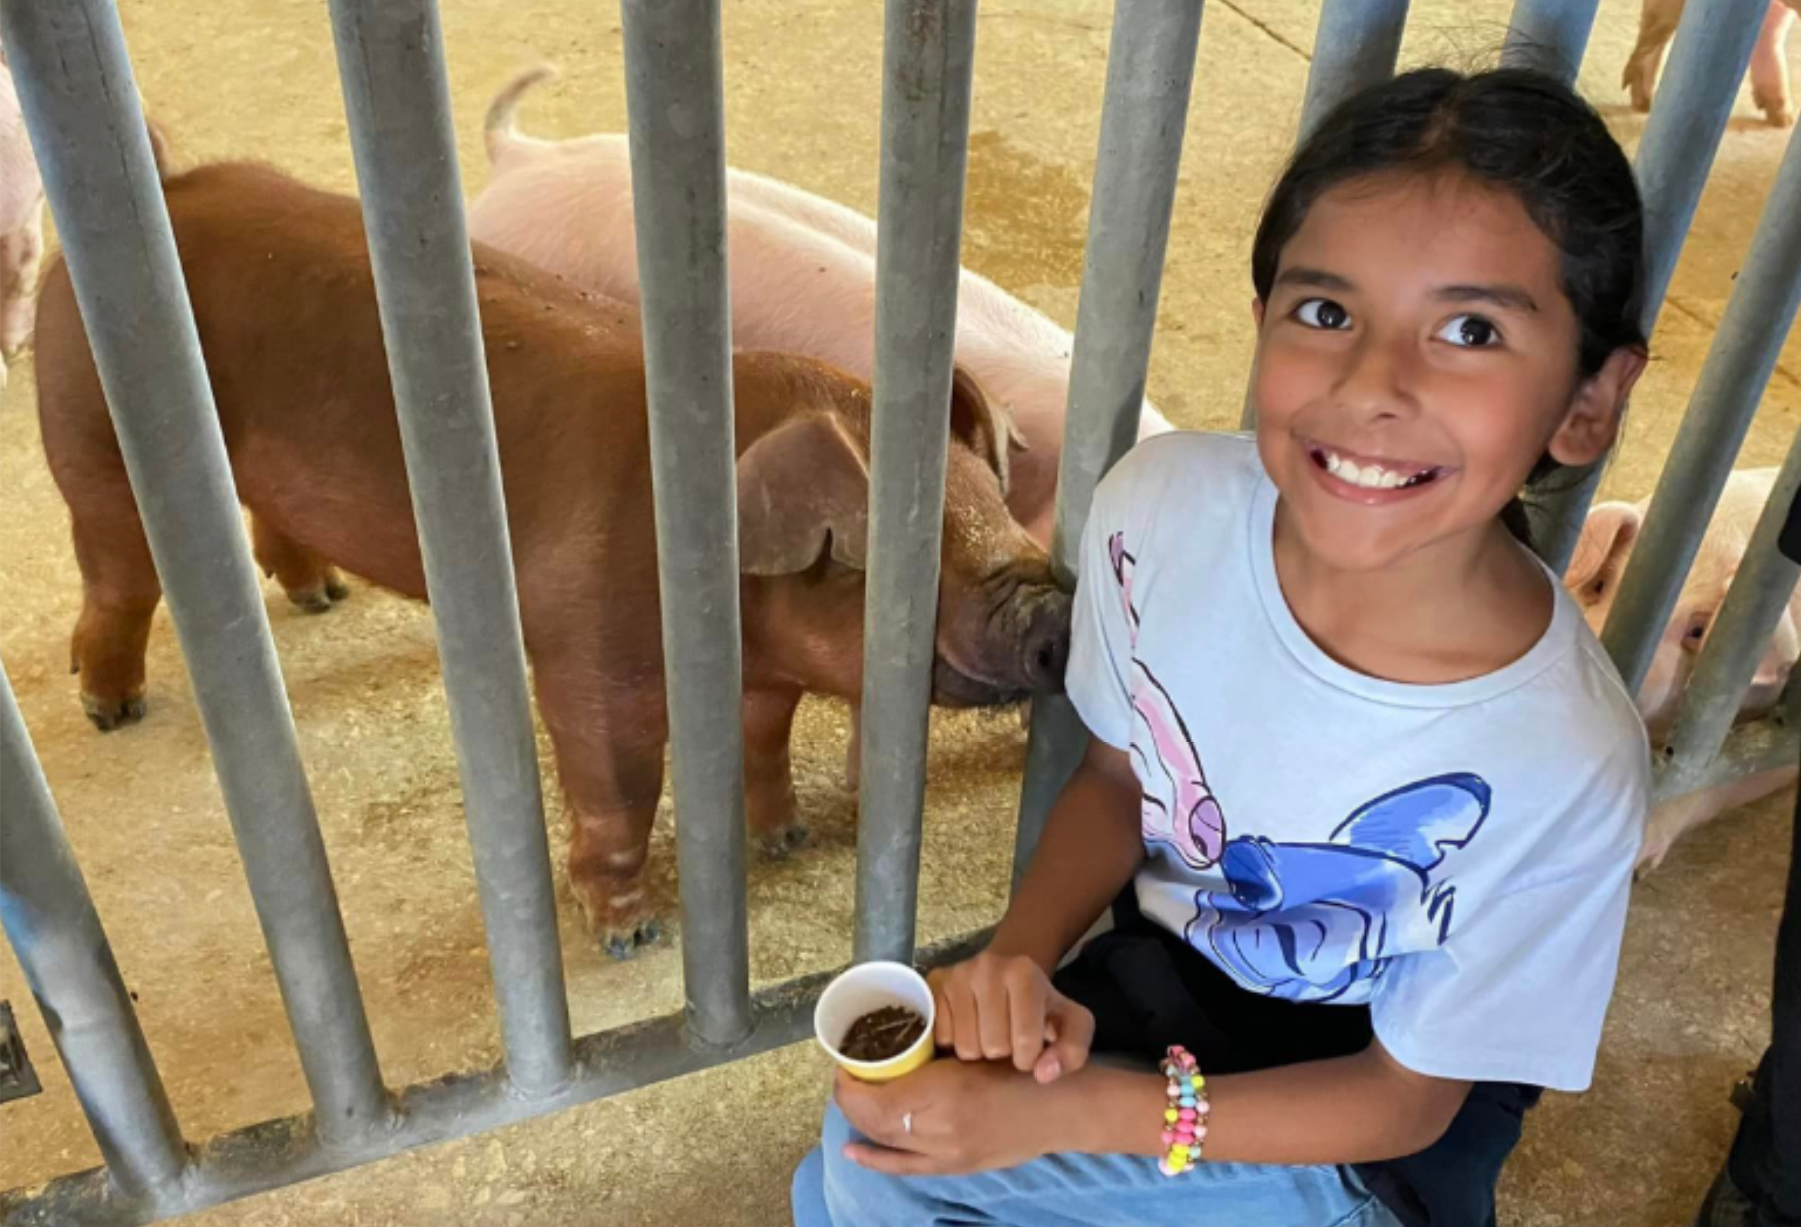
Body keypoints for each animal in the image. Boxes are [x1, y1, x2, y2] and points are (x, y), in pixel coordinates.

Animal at [31, 157, 1066, 951]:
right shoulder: (590, 651)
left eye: (995, 508)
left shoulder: (766, 669)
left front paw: (785, 840)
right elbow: (618, 781)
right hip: (90, 436)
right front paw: (631, 934)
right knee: (116, 572)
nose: (1056, 600)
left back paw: (322, 597)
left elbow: (761, 741)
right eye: (910, 545)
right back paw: (109, 709)